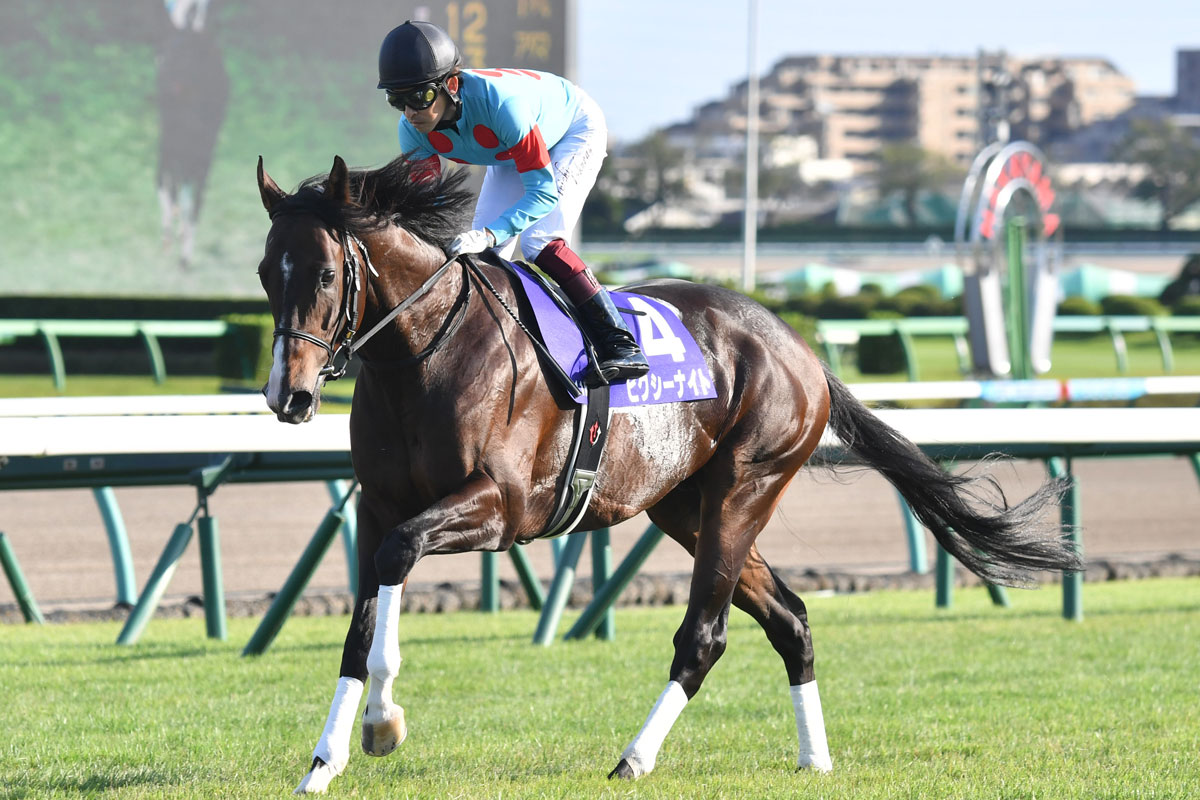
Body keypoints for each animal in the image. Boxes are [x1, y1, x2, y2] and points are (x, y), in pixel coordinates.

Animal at [255, 154, 1081, 793]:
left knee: (705, 636)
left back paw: (634, 758)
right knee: (790, 618)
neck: (427, 355)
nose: (287, 397)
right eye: (266, 273)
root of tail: (801, 349)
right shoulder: (378, 505)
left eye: (324, 275)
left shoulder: (502, 507)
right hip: (685, 508)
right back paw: (814, 759)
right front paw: (324, 761)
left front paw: (383, 723)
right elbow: (361, 622)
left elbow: (400, 557)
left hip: (745, 489)